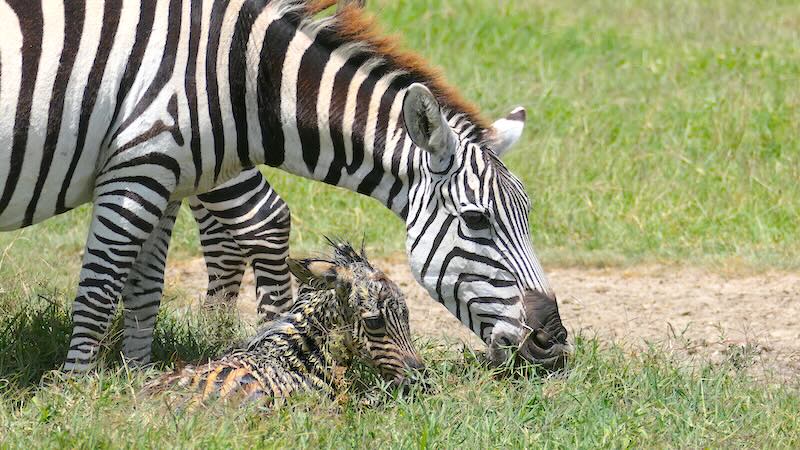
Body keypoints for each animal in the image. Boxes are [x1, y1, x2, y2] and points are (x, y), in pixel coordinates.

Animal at [0, 0, 568, 371]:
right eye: (476, 220)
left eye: (529, 216)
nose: (555, 341)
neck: (238, 76)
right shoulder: (138, 169)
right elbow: (99, 289)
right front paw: (77, 388)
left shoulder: (162, 177)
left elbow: (144, 287)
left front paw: (135, 379)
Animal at [145, 240, 423, 407]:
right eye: (374, 322)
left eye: (407, 316)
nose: (420, 376)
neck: (303, 359)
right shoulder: (337, 407)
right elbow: (371, 402)